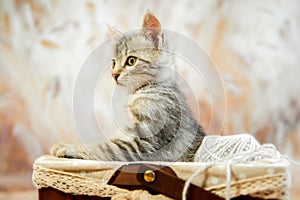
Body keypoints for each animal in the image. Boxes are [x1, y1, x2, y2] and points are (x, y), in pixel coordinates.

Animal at [51, 12, 206, 162]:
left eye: (131, 61)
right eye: (113, 63)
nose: (114, 75)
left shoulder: (145, 142)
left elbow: (105, 147)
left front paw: (70, 148)